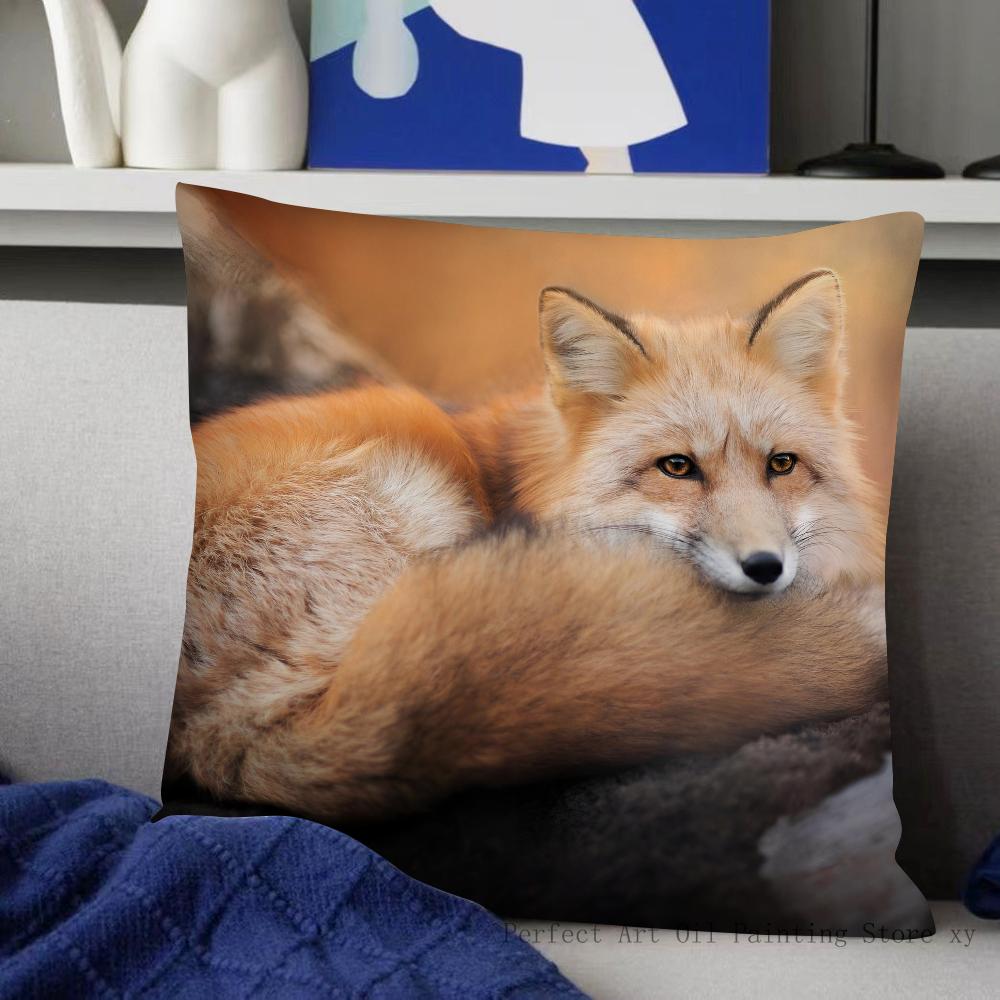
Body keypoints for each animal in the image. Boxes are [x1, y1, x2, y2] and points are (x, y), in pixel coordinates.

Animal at [167, 268, 888, 823]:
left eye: (782, 465)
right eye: (677, 467)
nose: (766, 568)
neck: (524, 477)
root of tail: (211, 730)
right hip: (415, 492)